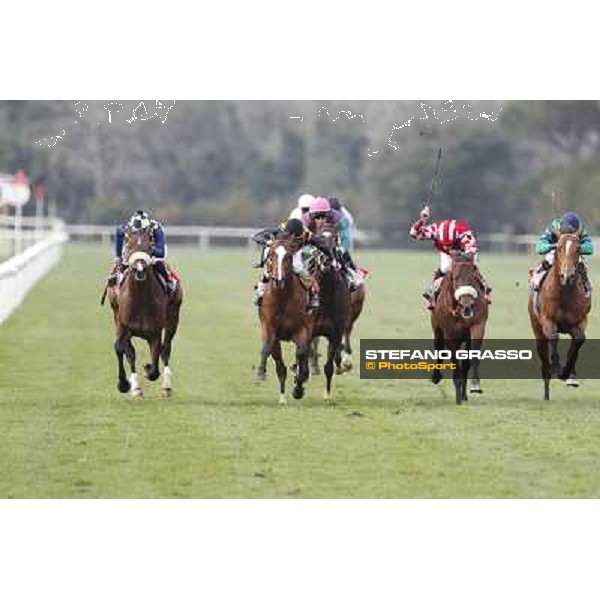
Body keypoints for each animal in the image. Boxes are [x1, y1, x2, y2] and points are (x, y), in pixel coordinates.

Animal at [108, 227, 183, 396]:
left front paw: (148, 369)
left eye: (149, 247)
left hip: (173, 317)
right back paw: (136, 387)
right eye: (129, 247)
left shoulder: (154, 332)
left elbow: (155, 365)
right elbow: (122, 349)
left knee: (166, 349)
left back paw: (166, 387)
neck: (140, 300)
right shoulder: (122, 325)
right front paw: (124, 384)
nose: (140, 268)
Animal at [255, 232, 316, 406]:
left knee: (303, 354)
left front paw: (299, 387)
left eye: (289, 256)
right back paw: (282, 397)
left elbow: (301, 353)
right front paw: (260, 372)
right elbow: (267, 348)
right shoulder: (269, 328)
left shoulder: (302, 329)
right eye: (271, 255)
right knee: (280, 365)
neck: (282, 298)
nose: (279, 280)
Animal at [432, 251, 488, 406]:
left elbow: (471, 357)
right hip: (437, 328)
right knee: (439, 348)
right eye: (455, 278)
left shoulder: (477, 326)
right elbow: (454, 361)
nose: (467, 303)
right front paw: (458, 397)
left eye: (474, 277)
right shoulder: (449, 334)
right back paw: (436, 376)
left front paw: (474, 386)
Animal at [528, 232, 592, 400]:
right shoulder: (548, 321)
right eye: (559, 248)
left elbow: (579, 340)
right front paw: (557, 367)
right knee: (544, 360)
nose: (567, 275)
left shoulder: (579, 322)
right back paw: (546, 393)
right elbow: (554, 336)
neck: (565, 293)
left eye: (578, 249)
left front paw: (567, 373)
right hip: (537, 330)